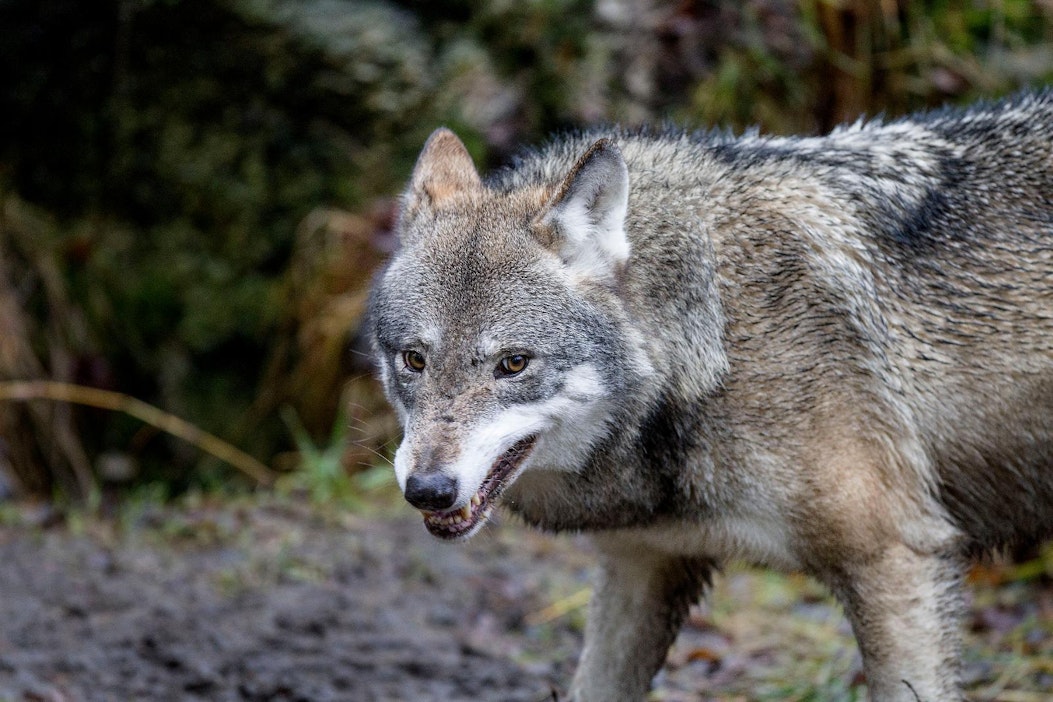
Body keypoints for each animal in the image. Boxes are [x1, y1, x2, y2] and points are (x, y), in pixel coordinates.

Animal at [364, 90, 1053, 698]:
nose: (427, 489)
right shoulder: (642, 560)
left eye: (513, 364)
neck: (719, 340)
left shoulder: (896, 561)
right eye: (414, 360)